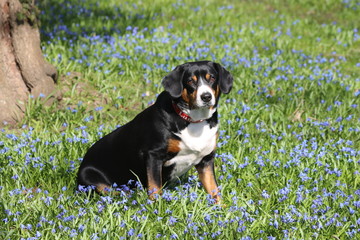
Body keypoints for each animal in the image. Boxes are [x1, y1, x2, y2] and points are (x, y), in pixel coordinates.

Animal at [76, 61, 233, 203]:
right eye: (190, 81)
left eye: (211, 78)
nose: (206, 96)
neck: (194, 121)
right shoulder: (153, 155)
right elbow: (155, 187)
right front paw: (157, 208)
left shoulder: (206, 159)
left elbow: (213, 188)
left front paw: (222, 208)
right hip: (89, 175)